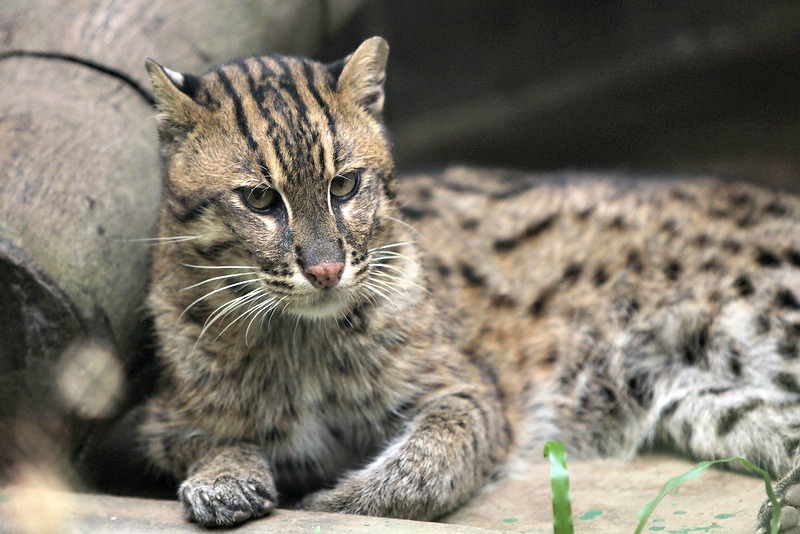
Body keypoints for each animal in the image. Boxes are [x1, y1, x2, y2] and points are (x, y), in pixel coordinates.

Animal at [139, 36, 800, 532]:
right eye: (258, 200)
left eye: (345, 186)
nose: (326, 269)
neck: (303, 338)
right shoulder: (159, 420)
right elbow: (211, 438)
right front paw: (223, 477)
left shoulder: (468, 391)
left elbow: (428, 465)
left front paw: (335, 501)